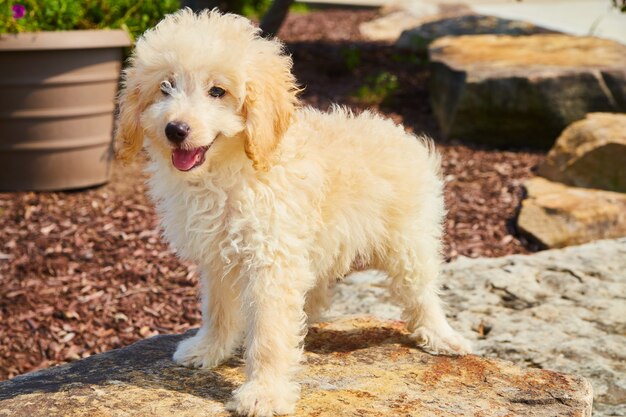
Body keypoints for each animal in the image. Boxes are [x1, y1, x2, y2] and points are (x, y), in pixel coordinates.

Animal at [116, 9, 468, 416]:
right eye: (166, 86)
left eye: (217, 91)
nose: (175, 129)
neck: (229, 172)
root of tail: (402, 132)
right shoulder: (219, 257)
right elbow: (218, 310)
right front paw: (209, 349)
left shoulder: (271, 261)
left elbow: (269, 334)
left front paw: (264, 393)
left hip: (409, 241)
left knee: (422, 291)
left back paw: (441, 336)